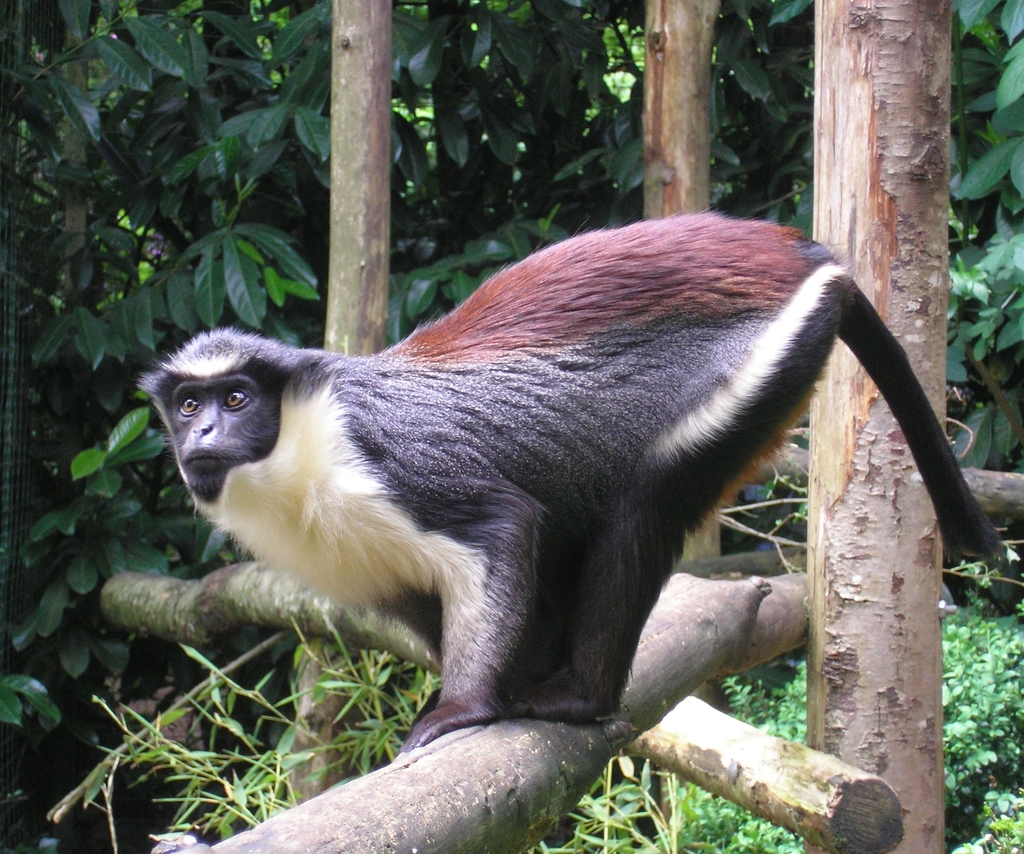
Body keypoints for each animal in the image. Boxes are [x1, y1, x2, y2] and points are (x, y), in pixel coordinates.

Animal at [141, 212, 1001, 752]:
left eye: (236, 400)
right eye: (188, 406)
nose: (205, 435)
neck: (296, 452)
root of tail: (806, 257)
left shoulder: (387, 463)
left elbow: (504, 525)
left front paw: (464, 708)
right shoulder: (370, 568)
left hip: (764, 362)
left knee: (642, 507)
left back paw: (581, 696)